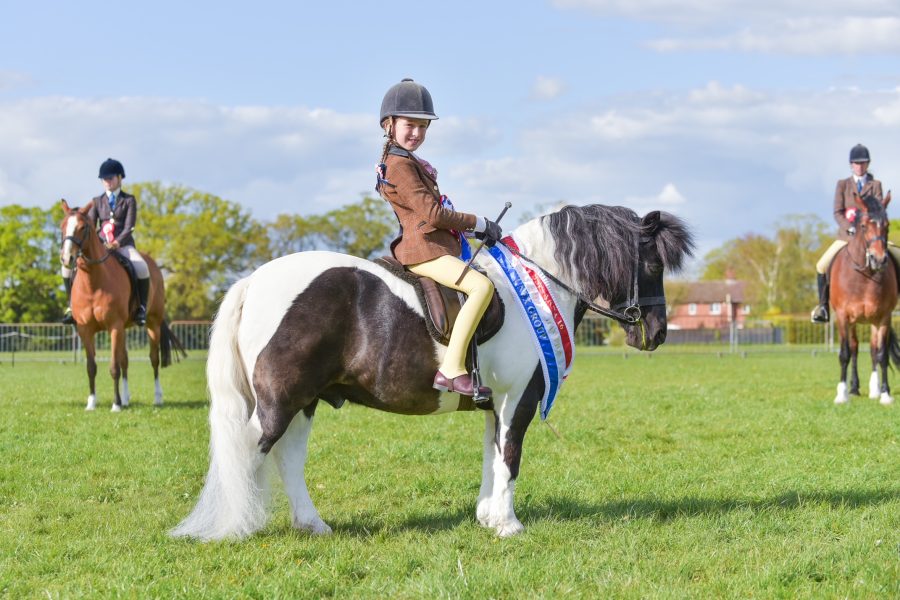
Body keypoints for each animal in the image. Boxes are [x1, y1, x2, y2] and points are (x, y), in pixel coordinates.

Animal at [59, 199, 186, 411]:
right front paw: (91, 403)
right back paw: (126, 398)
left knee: (154, 359)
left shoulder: (114, 327)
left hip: (152, 323)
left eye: (83, 227)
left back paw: (157, 397)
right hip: (125, 328)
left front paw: (116, 405)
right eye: (62, 226)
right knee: (125, 360)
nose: (67, 258)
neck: (93, 282)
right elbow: (92, 367)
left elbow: (113, 367)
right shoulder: (86, 330)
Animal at [171, 204, 694, 540]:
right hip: (281, 400)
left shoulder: (496, 401)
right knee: (250, 451)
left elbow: (492, 454)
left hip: (305, 400)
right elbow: (511, 455)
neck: (536, 283)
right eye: (651, 263)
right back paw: (236, 527)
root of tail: (254, 280)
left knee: (289, 456)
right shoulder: (519, 397)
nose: (657, 333)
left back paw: (313, 525)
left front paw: (487, 517)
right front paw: (509, 525)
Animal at [829, 191, 899, 406]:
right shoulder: (843, 317)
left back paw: (874, 389)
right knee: (853, 349)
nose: (879, 260)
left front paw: (885, 394)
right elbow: (844, 354)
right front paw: (841, 395)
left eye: (887, 225)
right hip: (852, 322)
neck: (865, 277)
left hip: (873, 321)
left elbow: (882, 355)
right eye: (863, 226)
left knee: (874, 350)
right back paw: (853, 388)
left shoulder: (884, 317)